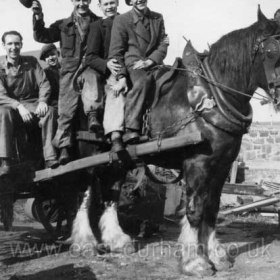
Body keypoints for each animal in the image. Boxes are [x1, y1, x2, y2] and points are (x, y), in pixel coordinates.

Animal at [68, 7, 280, 276]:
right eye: (271, 51)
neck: (210, 99)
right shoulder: (197, 165)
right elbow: (195, 210)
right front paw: (195, 261)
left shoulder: (221, 165)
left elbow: (212, 209)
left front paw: (216, 254)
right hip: (88, 153)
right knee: (83, 193)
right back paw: (85, 242)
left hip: (117, 158)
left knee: (111, 192)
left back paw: (117, 239)